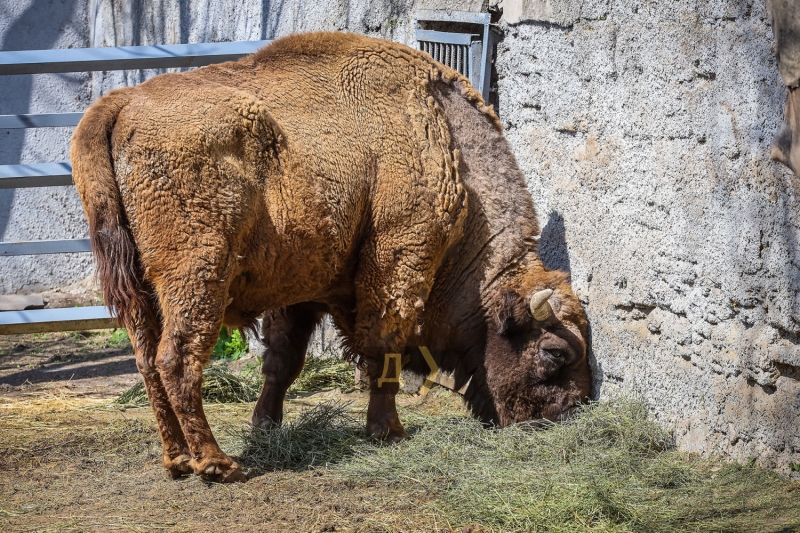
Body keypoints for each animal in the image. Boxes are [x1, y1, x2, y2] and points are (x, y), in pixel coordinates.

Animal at [72, 33, 592, 482]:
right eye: (555, 353)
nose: (571, 411)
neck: (449, 151)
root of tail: (120, 104)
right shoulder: (398, 262)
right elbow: (384, 349)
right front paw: (389, 431)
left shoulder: (301, 286)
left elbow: (283, 359)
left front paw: (267, 425)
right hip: (196, 274)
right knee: (176, 360)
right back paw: (217, 464)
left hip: (141, 291)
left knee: (146, 361)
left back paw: (178, 459)